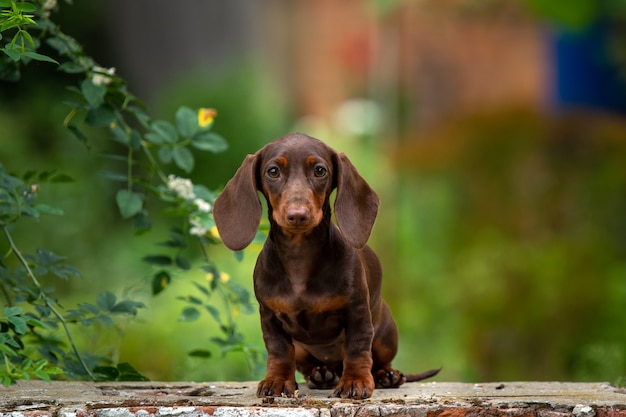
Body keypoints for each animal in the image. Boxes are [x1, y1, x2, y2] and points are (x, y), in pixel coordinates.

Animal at [212, 132, 436, 396]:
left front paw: (355, 381)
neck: (299, 256)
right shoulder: (269, 317)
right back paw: (321, 374)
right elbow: (278, 351)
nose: (297, 215)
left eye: (320, 170)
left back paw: (386, 376)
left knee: (379, 360)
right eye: (273, 171)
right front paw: (277, 380)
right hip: (301, 348)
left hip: (385, 335)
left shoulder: (357, 313)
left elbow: (357, 348)